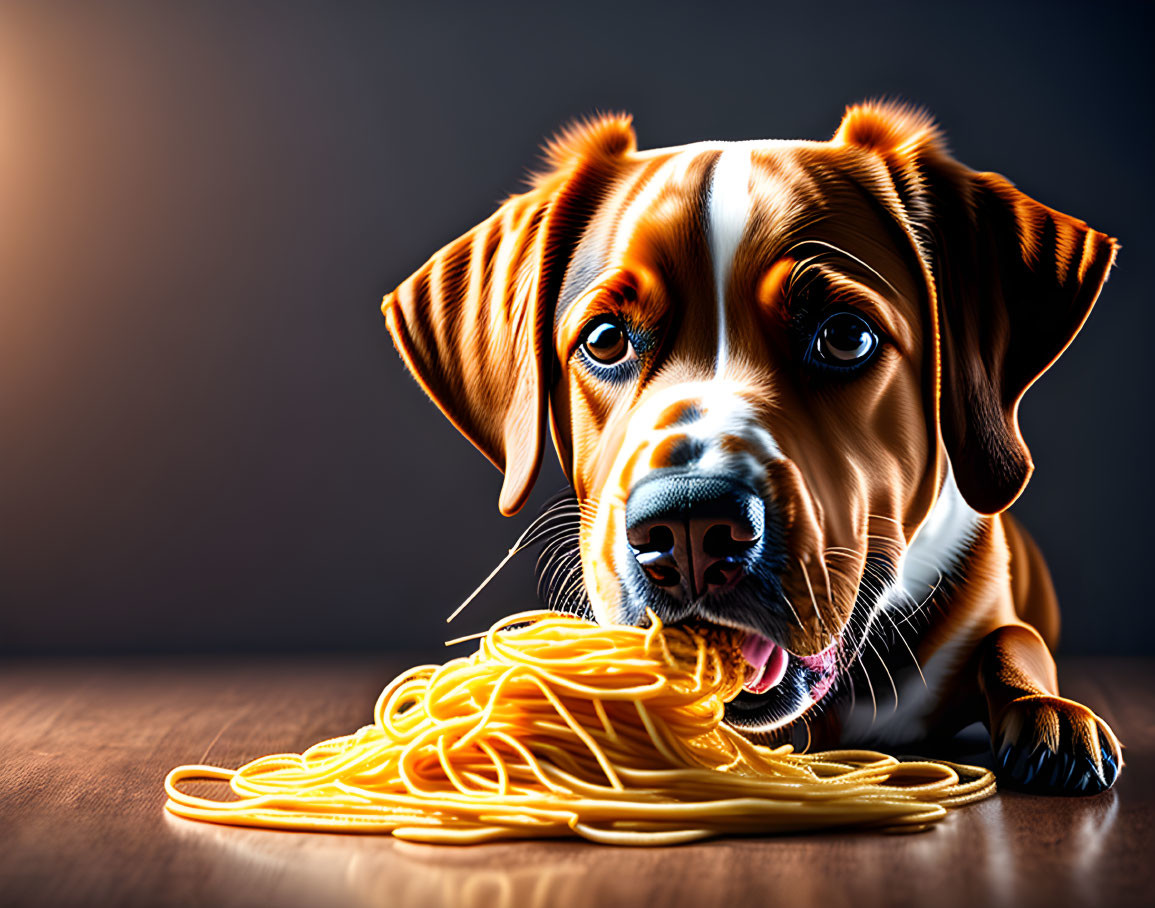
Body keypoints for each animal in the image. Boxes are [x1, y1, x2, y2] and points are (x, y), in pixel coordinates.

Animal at [383, 101, 1122, 794]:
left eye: (844, 336)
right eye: (604, 339)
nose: (687, 526)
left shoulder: (990, 613)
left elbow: (1013, 642)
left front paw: (1048, 711)